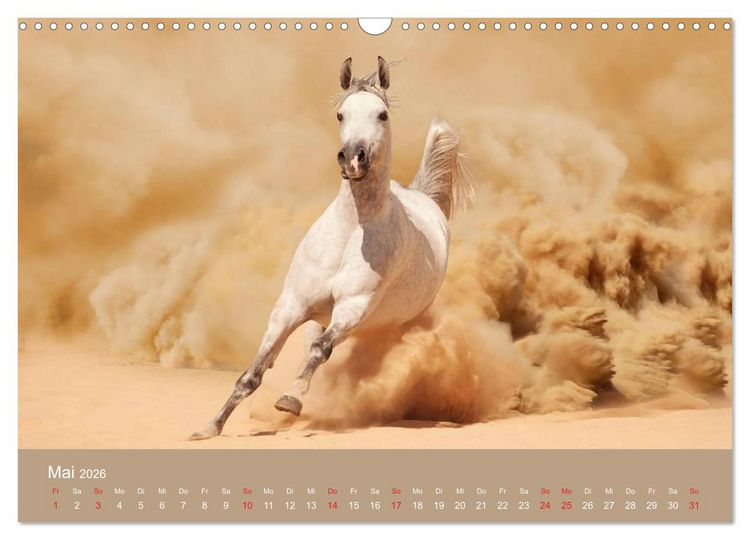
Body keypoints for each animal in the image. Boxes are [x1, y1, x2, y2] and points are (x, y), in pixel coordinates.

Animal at [190, 56, 475, 440]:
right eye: (341, 114)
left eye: (382, 114)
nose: (353, 158)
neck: (350, 234)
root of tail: (424, 197)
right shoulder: (290, 306)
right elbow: (255, 371)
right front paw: (210, 427)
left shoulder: (352, 308)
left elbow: (320, 350)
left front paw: (290, 400)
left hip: (392, 323)